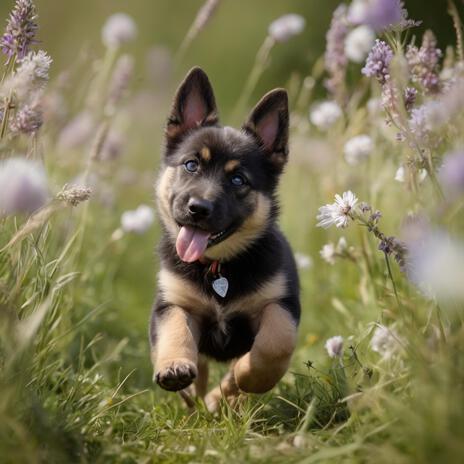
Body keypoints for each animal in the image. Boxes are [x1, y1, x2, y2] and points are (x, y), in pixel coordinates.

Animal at [150, 67, 300, 412]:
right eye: (191, 165)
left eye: (238, 180)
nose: (198, 209)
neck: (218, 267)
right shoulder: (171, 302)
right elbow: (175, 329)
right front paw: (174, 366)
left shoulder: (282, 304)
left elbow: (275, 343)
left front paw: (248, 377)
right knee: (201, 372)